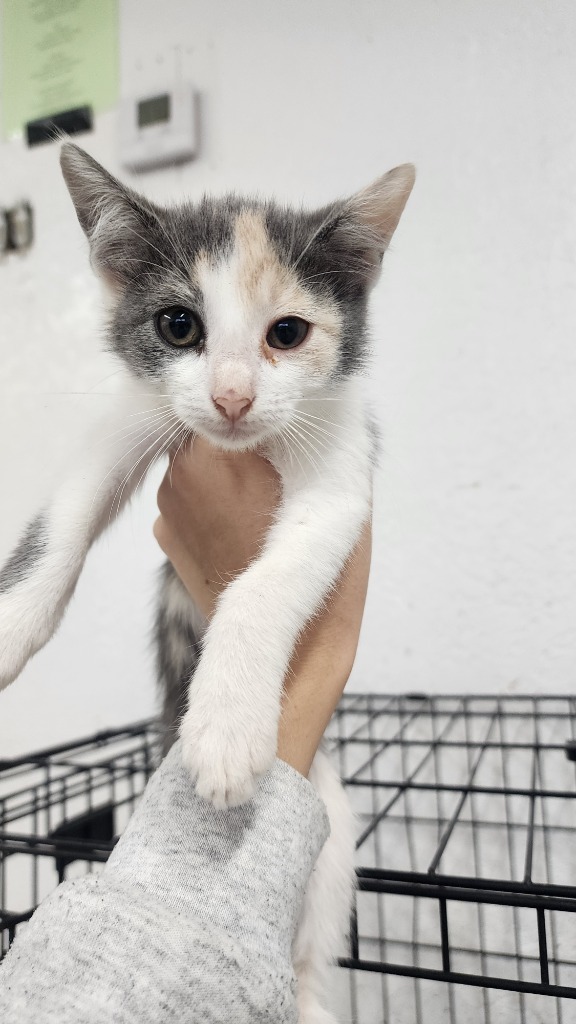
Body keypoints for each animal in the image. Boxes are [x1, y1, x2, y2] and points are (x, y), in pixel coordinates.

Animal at [0, 146, 412, 1024]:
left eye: (287, 333)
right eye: (178, 325)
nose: (230, 396)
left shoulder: (341, 471)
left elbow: (264, 584)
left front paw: (226, 728)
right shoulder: (130, 420)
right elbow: (61, 527)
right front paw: (11, 625)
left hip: (329, 819)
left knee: (311, 966)